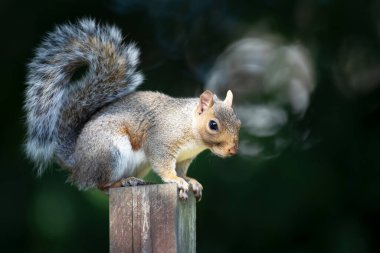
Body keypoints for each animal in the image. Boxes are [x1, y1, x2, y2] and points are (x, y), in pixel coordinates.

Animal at [23, 18, 240, 201]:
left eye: (239, 124)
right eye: (213, 125)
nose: (232, 150)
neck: (191, 129)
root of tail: (77, 162)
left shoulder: (184, 158)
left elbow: (182, 171)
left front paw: (190, 181)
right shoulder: (161, 141)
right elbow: (164, 165)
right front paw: (176, 180)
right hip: (109, 153)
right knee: (102, 185)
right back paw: (123, 181)